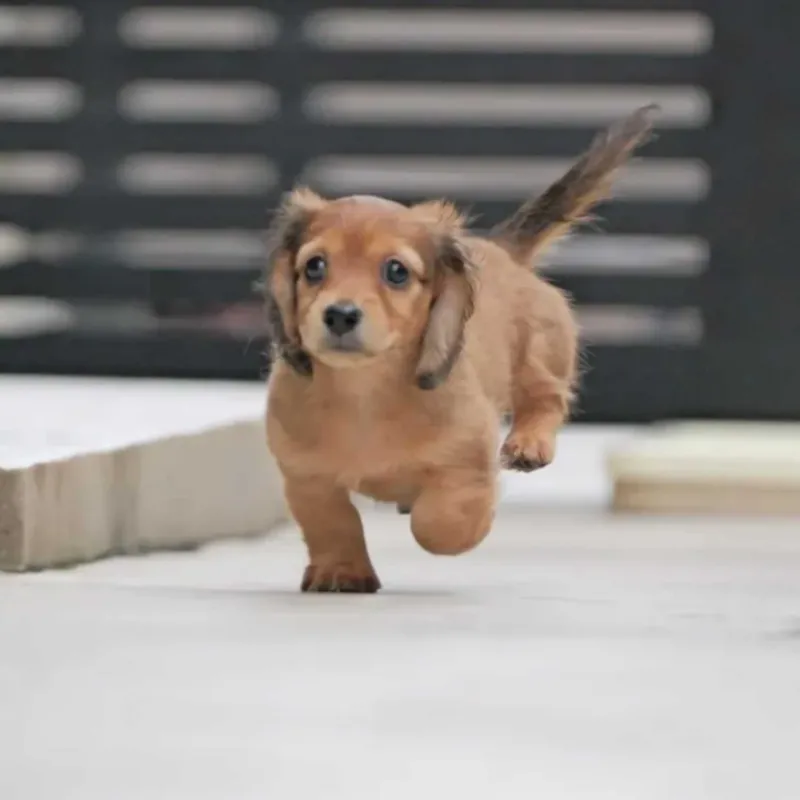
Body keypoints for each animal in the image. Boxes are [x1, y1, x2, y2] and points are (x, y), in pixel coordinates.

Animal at [263, 106, 655, 593]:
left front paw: (454, 525)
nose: (339, 315)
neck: (364, 394)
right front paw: (341, 570)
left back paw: (529, 443)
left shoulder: (467, 461)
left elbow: (439, 520)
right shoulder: (306, 477)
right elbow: (332, 522)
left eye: (396, 271)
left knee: (546, 399)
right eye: (315, 266)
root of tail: (503, 251)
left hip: (539, 356)